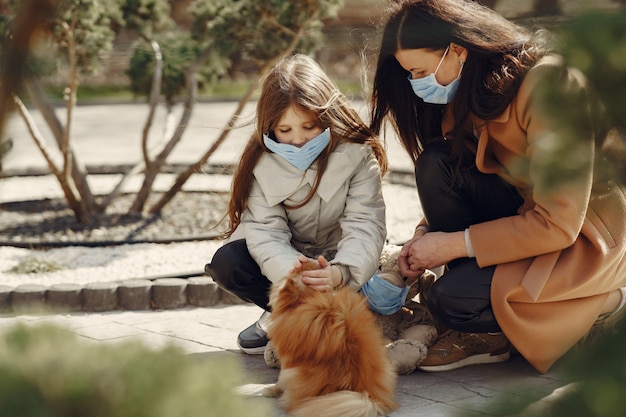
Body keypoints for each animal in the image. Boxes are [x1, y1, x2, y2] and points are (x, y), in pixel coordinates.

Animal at [264, 262, 394, 416]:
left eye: (296, 271)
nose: (302, 261)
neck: (309, 300)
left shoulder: (287, 362)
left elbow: (279, 379)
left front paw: (272, 389)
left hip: (294, 374)